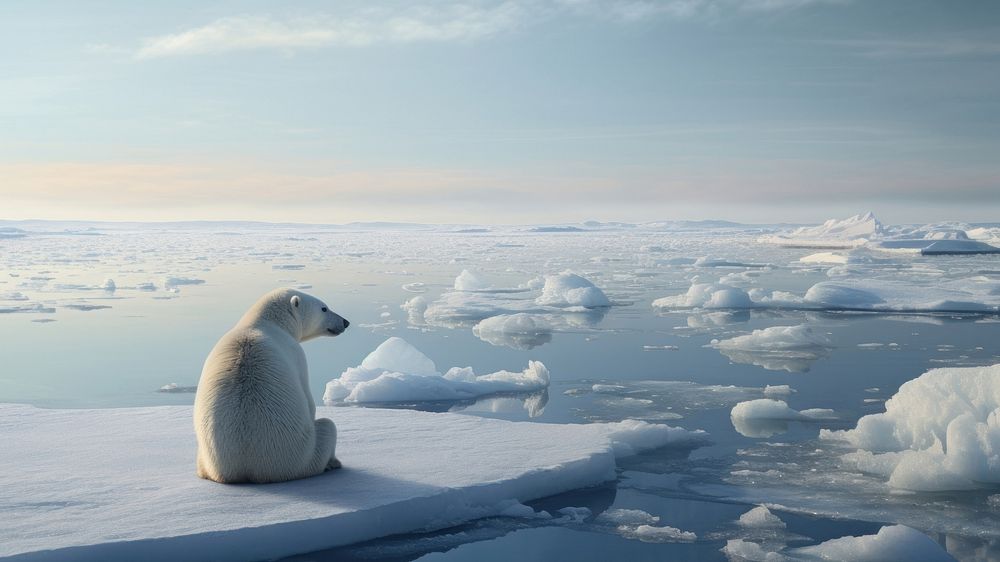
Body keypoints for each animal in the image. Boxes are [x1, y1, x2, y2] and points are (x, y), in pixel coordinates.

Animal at [193, 288, 350, 482]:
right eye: (324, 308)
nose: (345, 322)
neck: (264, 322)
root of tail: (247, 469)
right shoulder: (296, 354)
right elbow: (308, 402)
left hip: (207, 457)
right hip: (304, 456)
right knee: (328, 427)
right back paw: (333, 463)